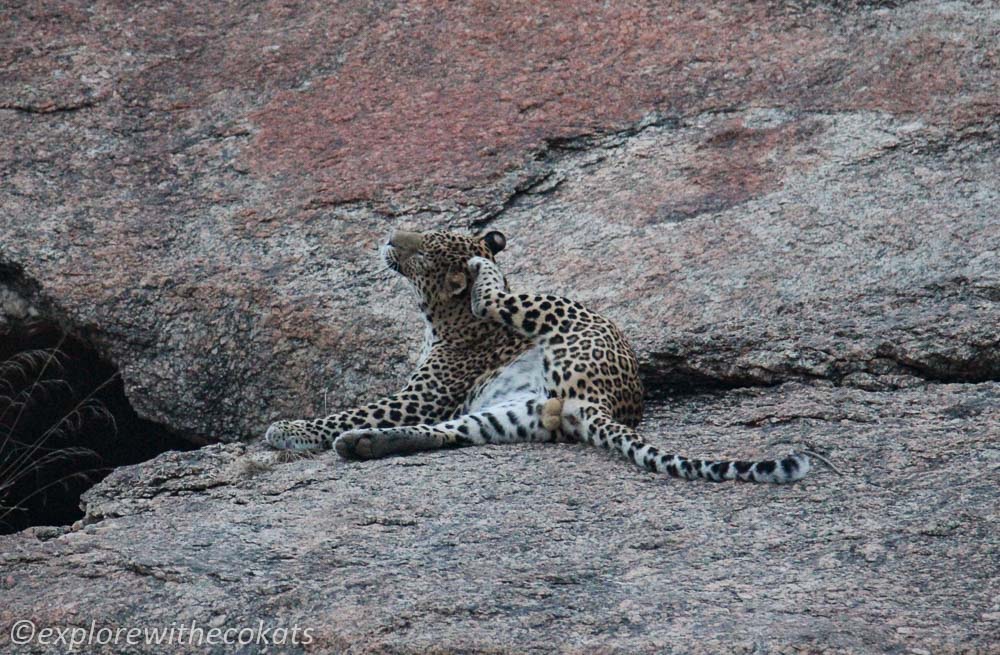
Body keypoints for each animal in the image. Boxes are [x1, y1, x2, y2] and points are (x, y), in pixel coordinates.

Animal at [266, 228, 812, 484]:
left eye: (420, 251)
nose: (390, 238)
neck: (441, 315)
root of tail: (607, 403)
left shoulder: (421, 395)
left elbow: (350, 410)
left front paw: (288, 429)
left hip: (553, 307)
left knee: (498, 296)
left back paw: (485, 269)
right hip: (511, 414)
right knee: (447, 435)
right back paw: (362, 445)